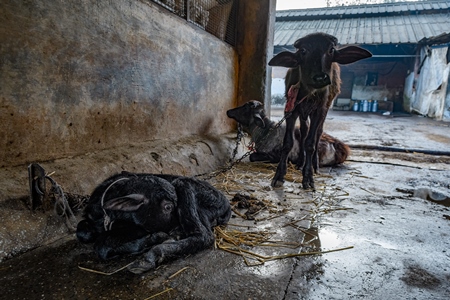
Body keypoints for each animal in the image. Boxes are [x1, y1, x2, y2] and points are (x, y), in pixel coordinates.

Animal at [77, 171, 230, 274]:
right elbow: (82, 232)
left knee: (203, 236)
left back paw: (152, 255)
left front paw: (156, 238)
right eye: (168, 207)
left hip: (185, 186)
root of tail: (225, 202)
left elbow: (102, 245)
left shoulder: (137, 229)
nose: (177, 227)